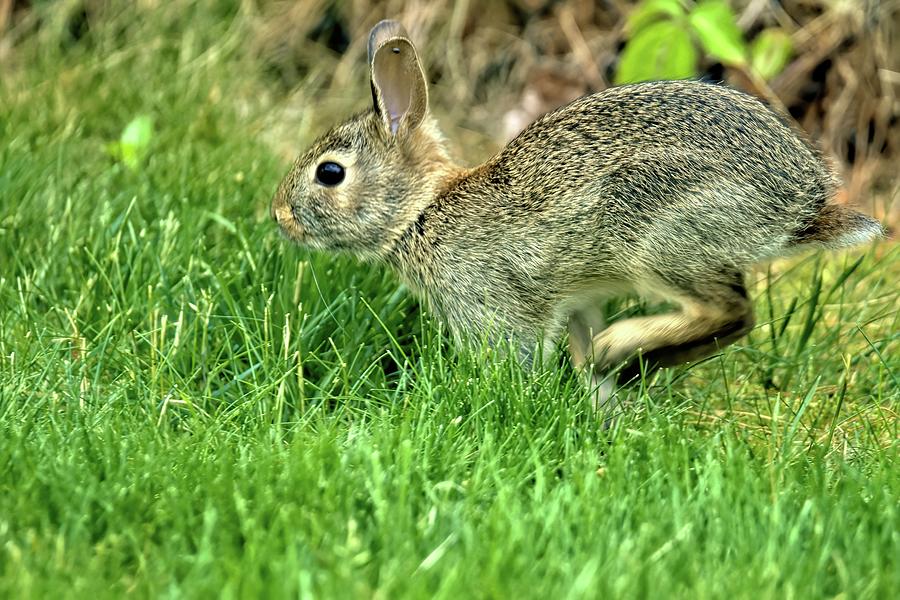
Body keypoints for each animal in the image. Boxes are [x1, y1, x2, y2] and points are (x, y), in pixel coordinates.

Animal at [268, 18, 884, 412]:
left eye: (330, 173)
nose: (280, 217)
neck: (422, 209)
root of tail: (801, 201)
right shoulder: (576, 301)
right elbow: (579, 336)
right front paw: (600, 405)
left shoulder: (492, 304)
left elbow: (515, 353)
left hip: (661, 234)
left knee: (732, 311)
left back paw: (624, 346)